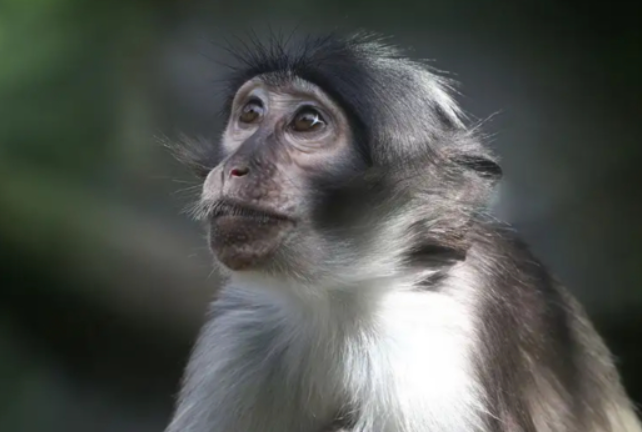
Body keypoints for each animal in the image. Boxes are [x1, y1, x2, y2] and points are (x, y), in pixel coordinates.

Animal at [163, 32, 642, 432]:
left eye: (307, 122)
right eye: (250, 113)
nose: (235, 166)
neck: (335, 302)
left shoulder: (424, 349)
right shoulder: (243, 328)